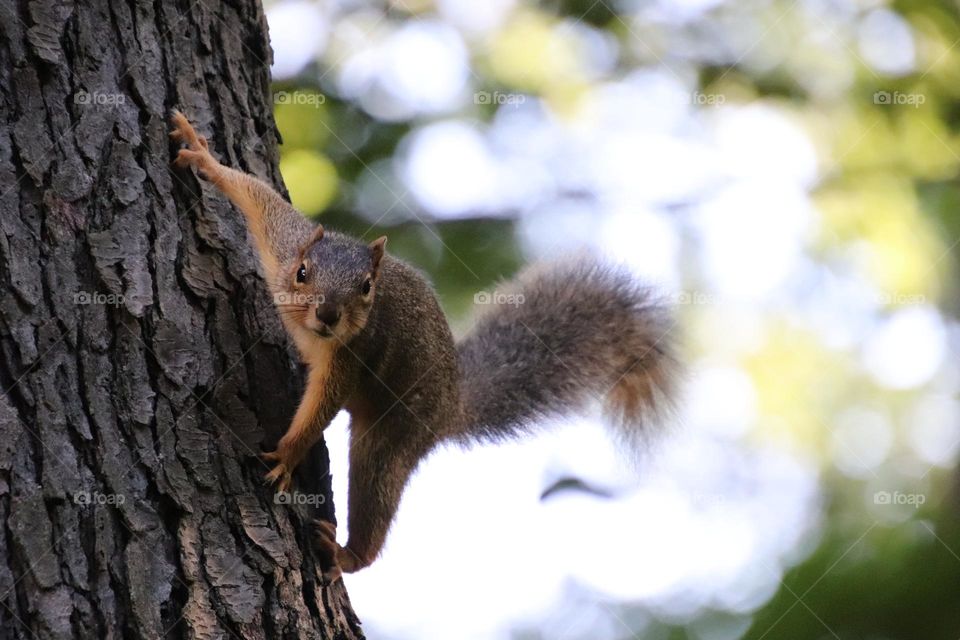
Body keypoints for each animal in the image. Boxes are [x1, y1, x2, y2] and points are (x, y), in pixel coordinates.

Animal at [171, 111, 684, 584]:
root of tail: (451, 406)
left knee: (376, 494)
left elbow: (323, 407)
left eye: (366, 288)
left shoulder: (354, 355)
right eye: (302, 273)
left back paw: (348, 554)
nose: (328, 314)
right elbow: (257, 198)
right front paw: (203, 157)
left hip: (392, 437)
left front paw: (288, 455)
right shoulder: (284, 244)